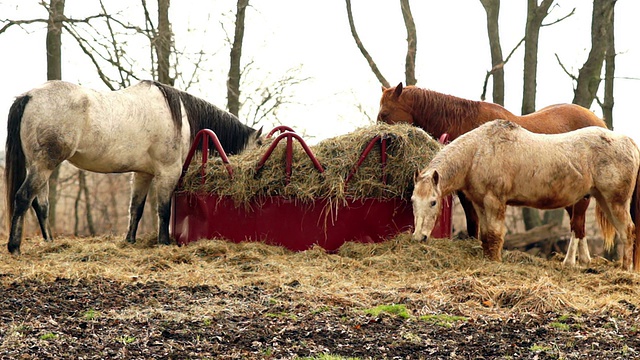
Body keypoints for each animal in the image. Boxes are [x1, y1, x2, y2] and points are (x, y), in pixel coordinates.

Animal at [6, 81, 262, 256]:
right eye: (260, 145)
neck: (178, 116)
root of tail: (29, 96)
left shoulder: (143, 174)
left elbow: (136, 209)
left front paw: (130, 241)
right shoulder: (167, 172)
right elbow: (163, 210)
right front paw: (163, 242)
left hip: (38, 166)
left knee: (40, 205)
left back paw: (49, 242)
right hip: (44, 165)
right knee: (23, 198)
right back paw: (14, 247)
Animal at [378, 82, 608, 268]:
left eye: (385, 115)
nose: (382, 138)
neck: (467, 125)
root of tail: (599, 123)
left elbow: (474, 223)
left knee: (577, 223)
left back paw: (571, 261)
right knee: (579, 225)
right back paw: (583, 260)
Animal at [410, 120, 640, 270]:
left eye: (433, 202)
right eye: (412, 201)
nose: (419, 237)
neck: (479, 152)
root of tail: (628, 141)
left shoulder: (495, 201)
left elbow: (495, 235)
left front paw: (496, 262)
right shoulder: (480, 204)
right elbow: (485, 235)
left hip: (615, 201)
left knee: (627, 231)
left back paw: (625, 270)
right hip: (602, 199)